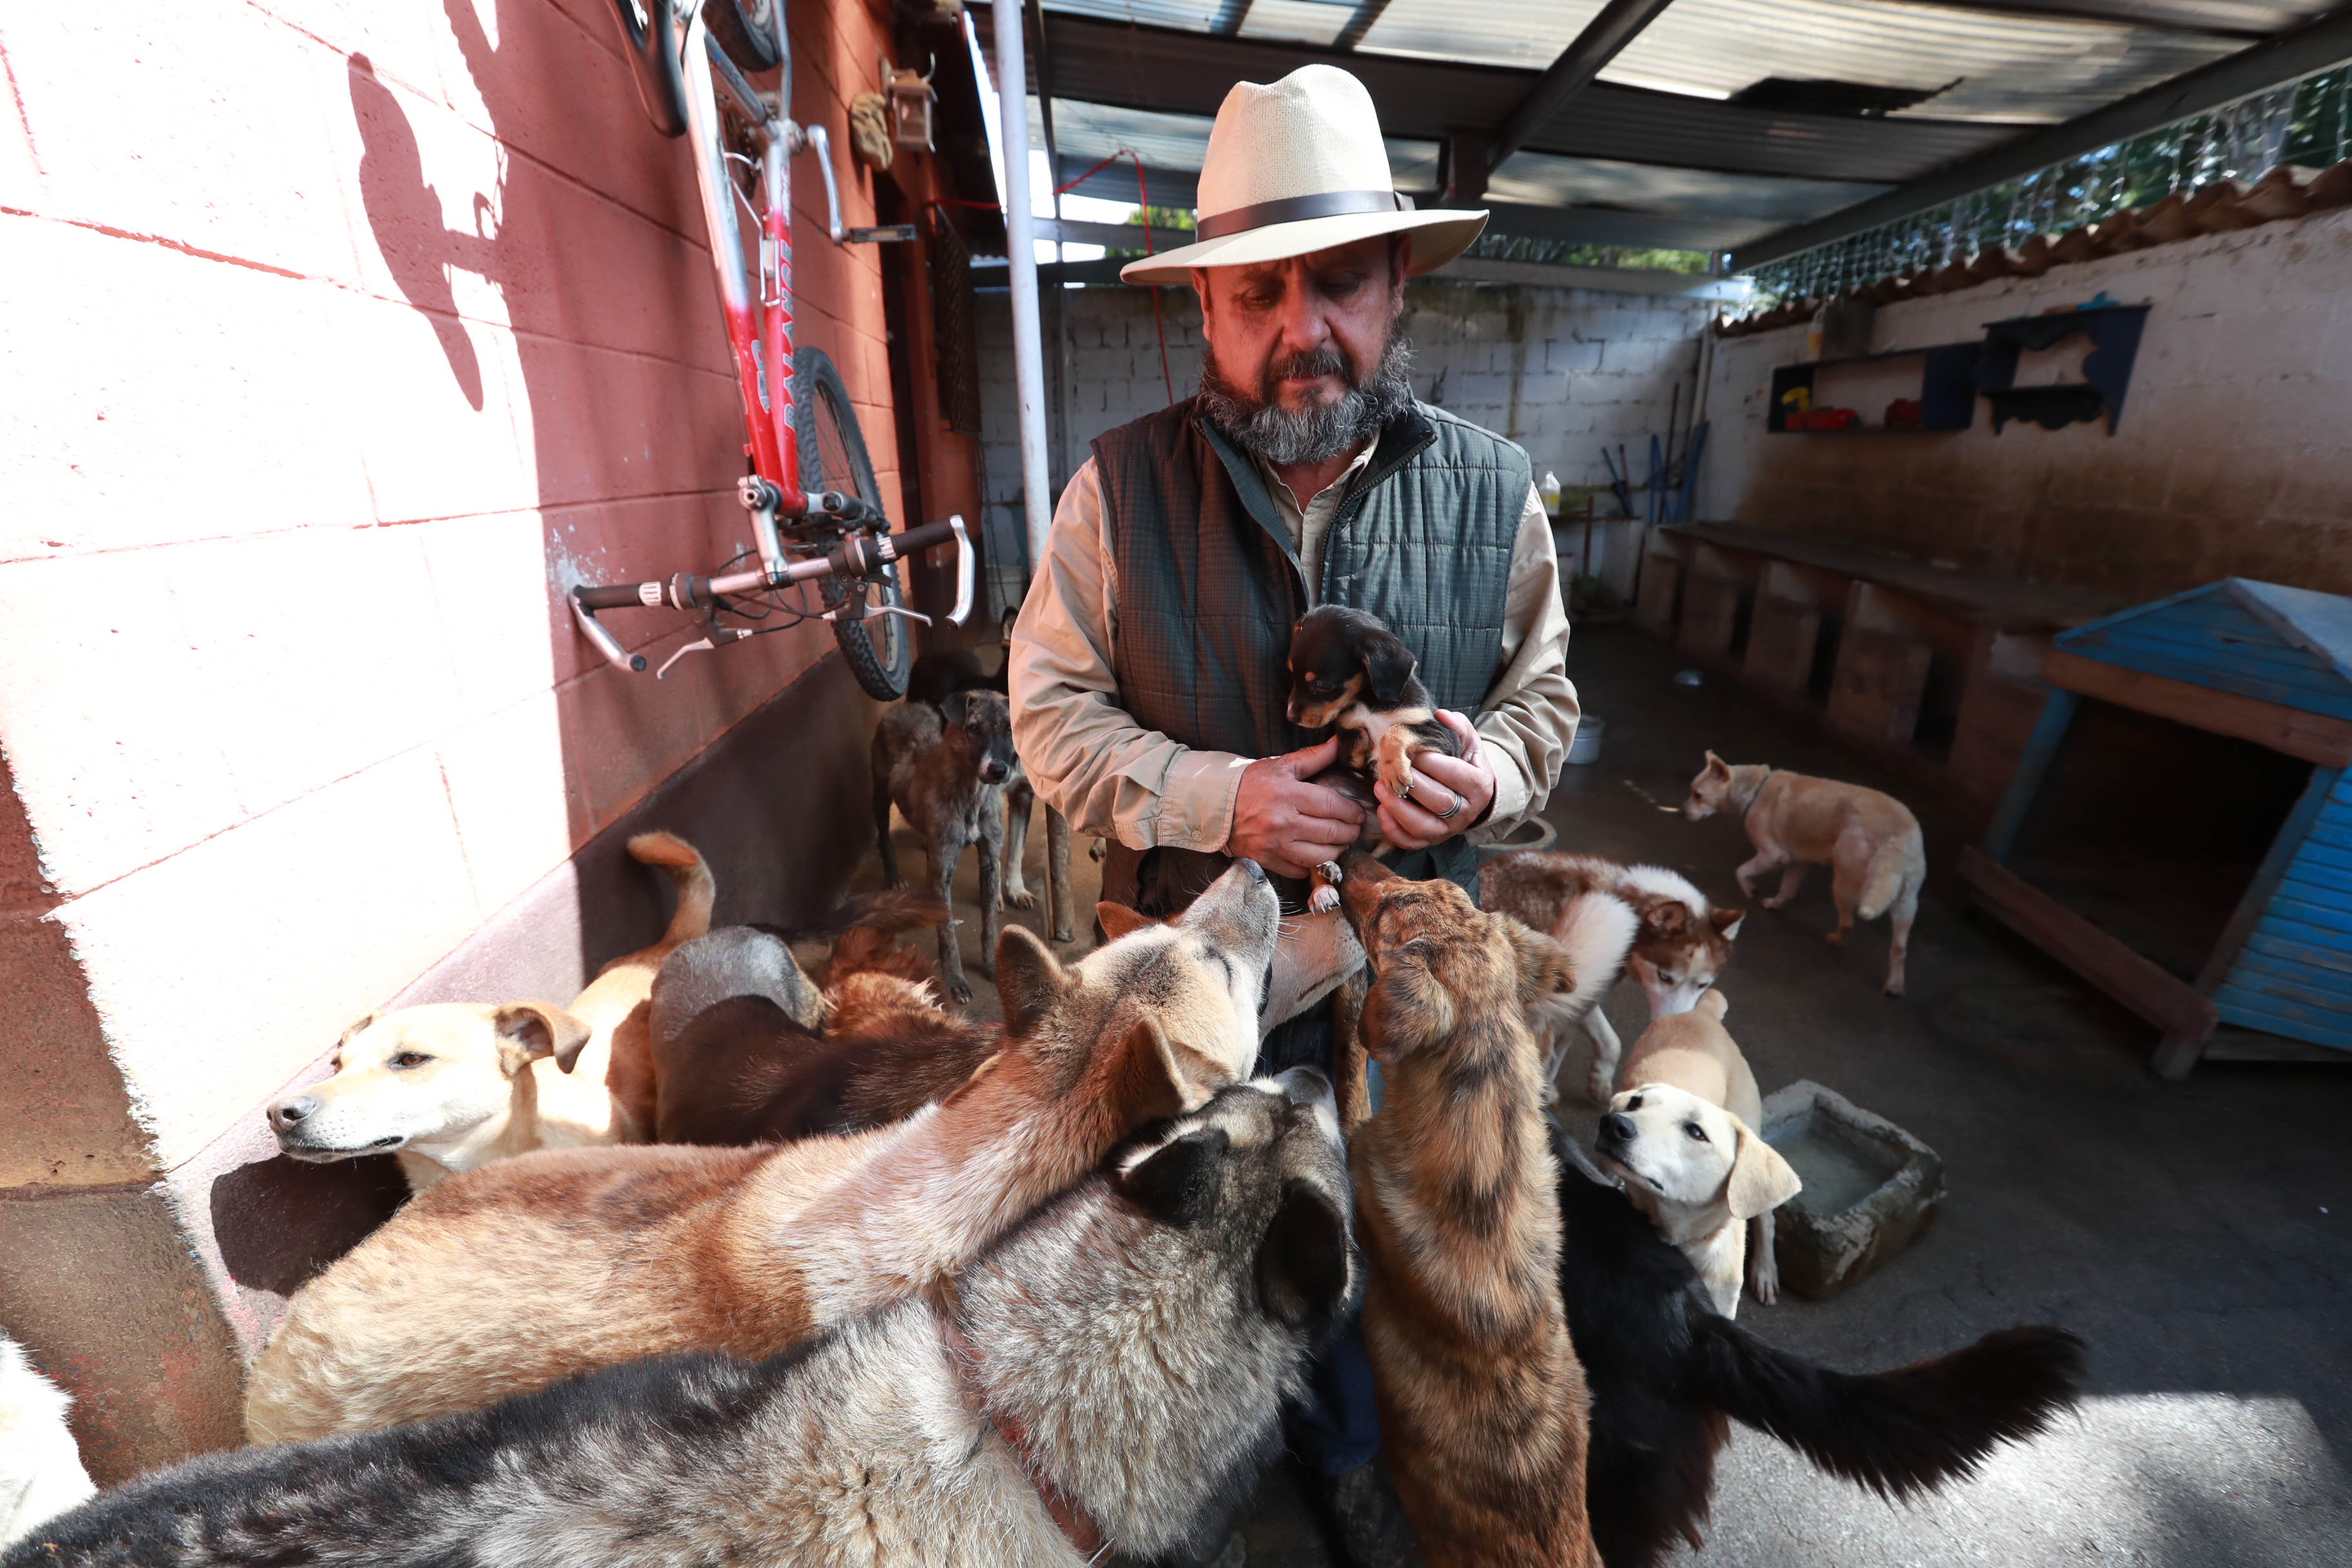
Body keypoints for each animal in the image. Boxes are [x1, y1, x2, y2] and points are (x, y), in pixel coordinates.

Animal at [1279, 606, 1458, 912]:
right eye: (1292, 675)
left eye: (1322, 685)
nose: (1291, 717)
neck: (1369, 701)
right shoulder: (1346, 740)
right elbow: (1350, 740)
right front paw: (1363, 739)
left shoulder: (1445, 737)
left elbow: (1396, 730)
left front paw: (1393, 770)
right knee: (1325, 862)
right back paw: (1324, 886)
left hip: (1388, 843)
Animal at [1599, 992, 1797, 1316]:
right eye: (1635, 1103)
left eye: (1696, 1132)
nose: (1614, 1125)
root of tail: (1704, 1013)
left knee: (1766, 1218)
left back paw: (1765, 1270)